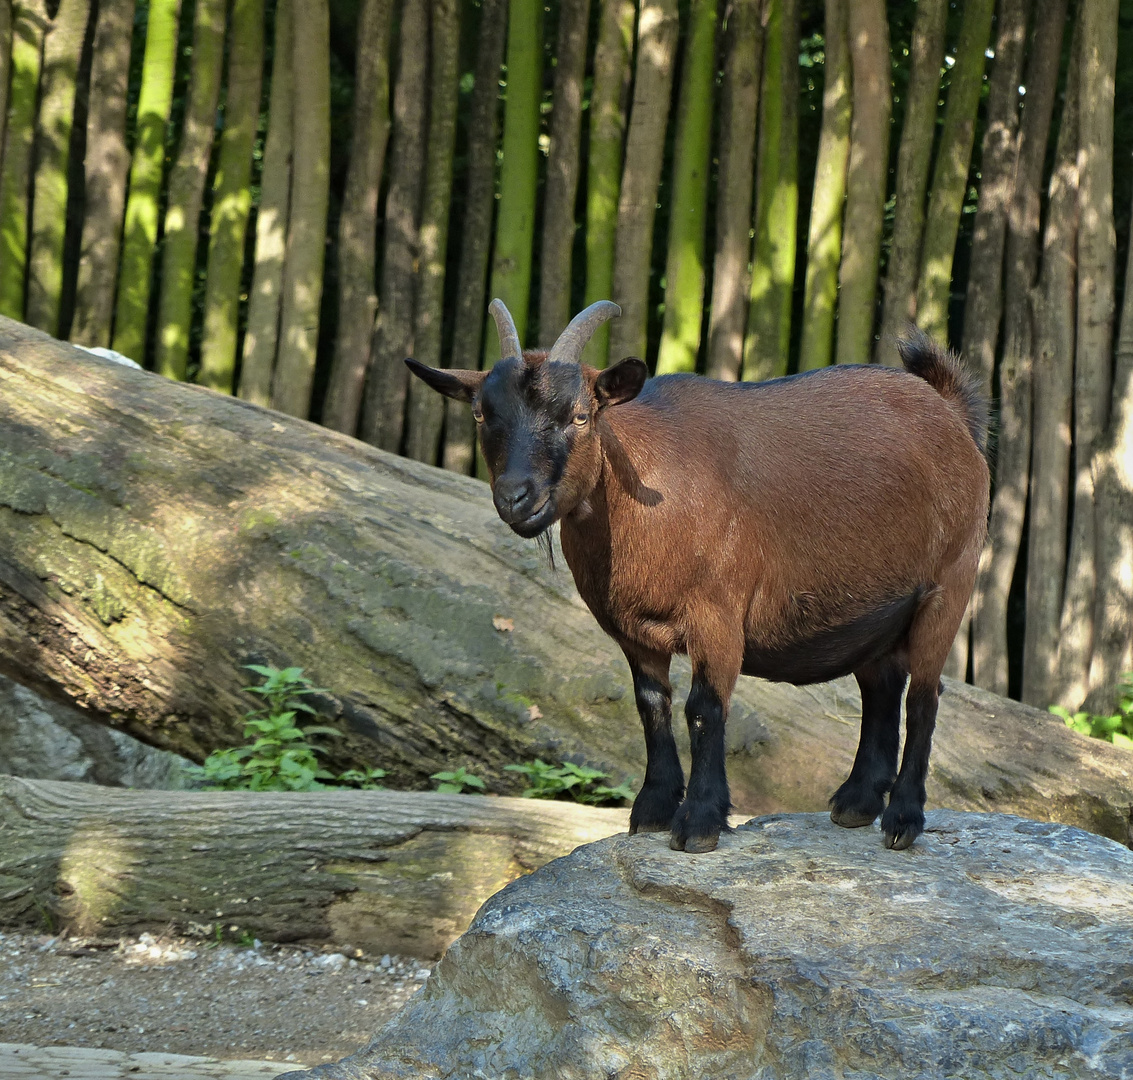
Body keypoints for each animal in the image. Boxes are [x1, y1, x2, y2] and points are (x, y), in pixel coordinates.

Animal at [405, 301, 983, 852]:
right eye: (482, 414)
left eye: (580, 415)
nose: (516, 498)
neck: (645, 488)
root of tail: (950, 410)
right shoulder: (632, 630)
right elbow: (651, 705)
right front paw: (653, 810)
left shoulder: (717, 615)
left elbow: (704, 708)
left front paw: (699, 823)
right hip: (875, 611)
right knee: (882, 687)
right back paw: (856, 803)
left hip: (949, 585)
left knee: (924, 697)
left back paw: (902, 820)